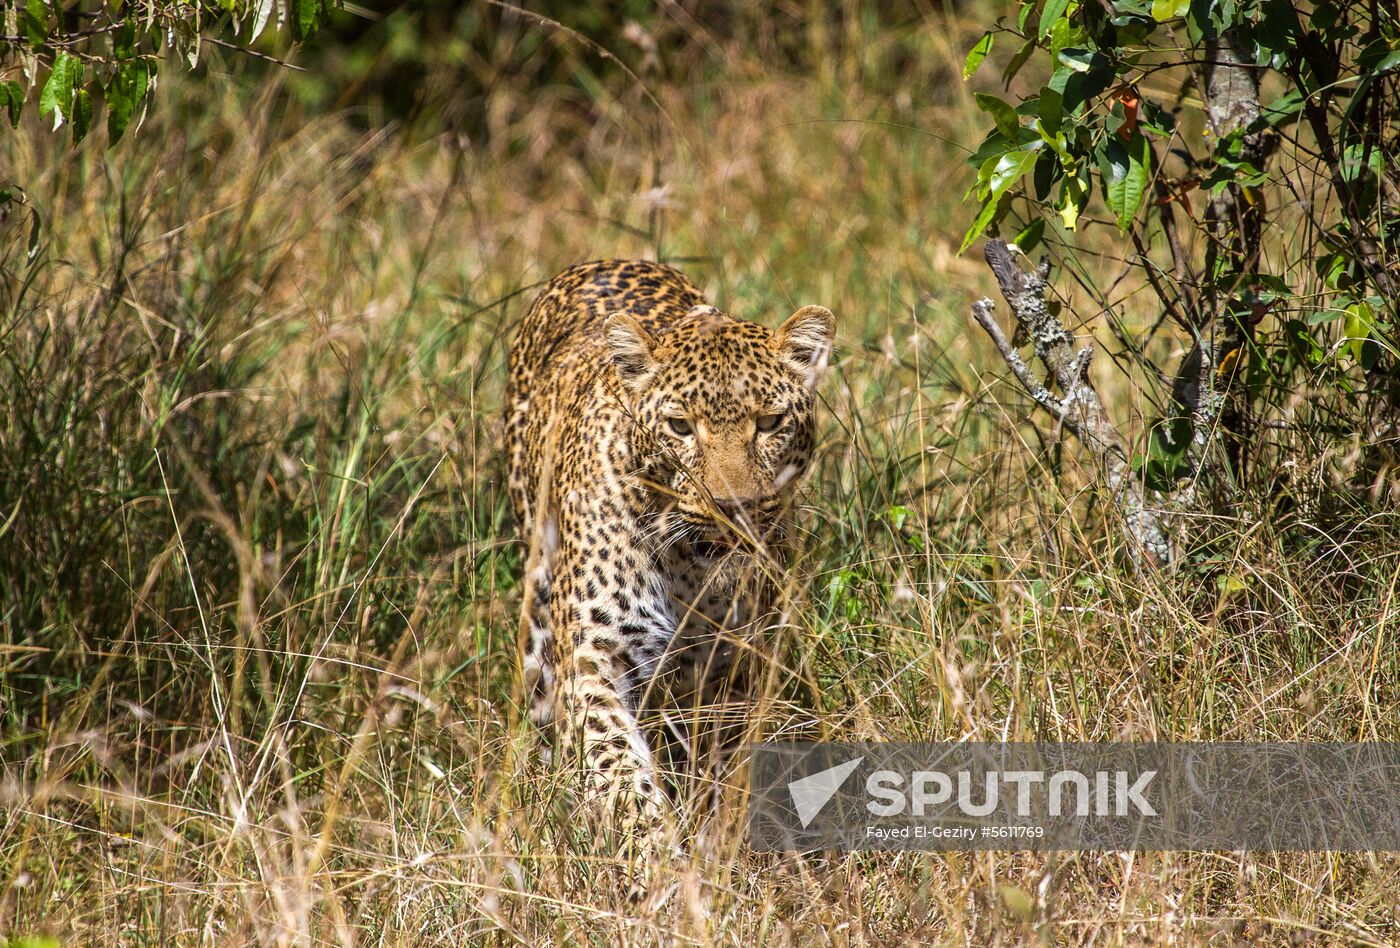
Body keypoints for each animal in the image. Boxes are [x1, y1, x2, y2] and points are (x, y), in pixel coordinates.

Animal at [504, 257, 828, 856]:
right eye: (680, 427)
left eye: (770, 423)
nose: (732, 506)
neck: (690, 567)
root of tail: (604, 260)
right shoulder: (594, 656)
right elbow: (617, 767)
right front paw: (653, 861)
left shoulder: (735, 665)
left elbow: (725, 766)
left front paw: (717, 843)